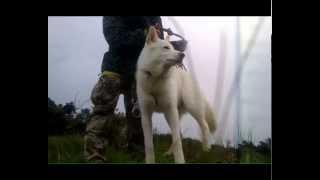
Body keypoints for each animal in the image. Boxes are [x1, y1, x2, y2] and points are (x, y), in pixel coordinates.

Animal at [136, 26, 218, 163]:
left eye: (173, 48)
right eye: (166, 48)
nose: (182, 55)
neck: (156, 80)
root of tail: (190, 76)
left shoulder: (171, 110)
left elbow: (177, 142)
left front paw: (180, 161)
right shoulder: (146, 115)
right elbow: (149, 144)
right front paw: (150, 161)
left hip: (191, 108)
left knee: (204, 126)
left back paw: (206, 150)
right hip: (169, 115)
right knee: (178, 133)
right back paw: (169, 153)